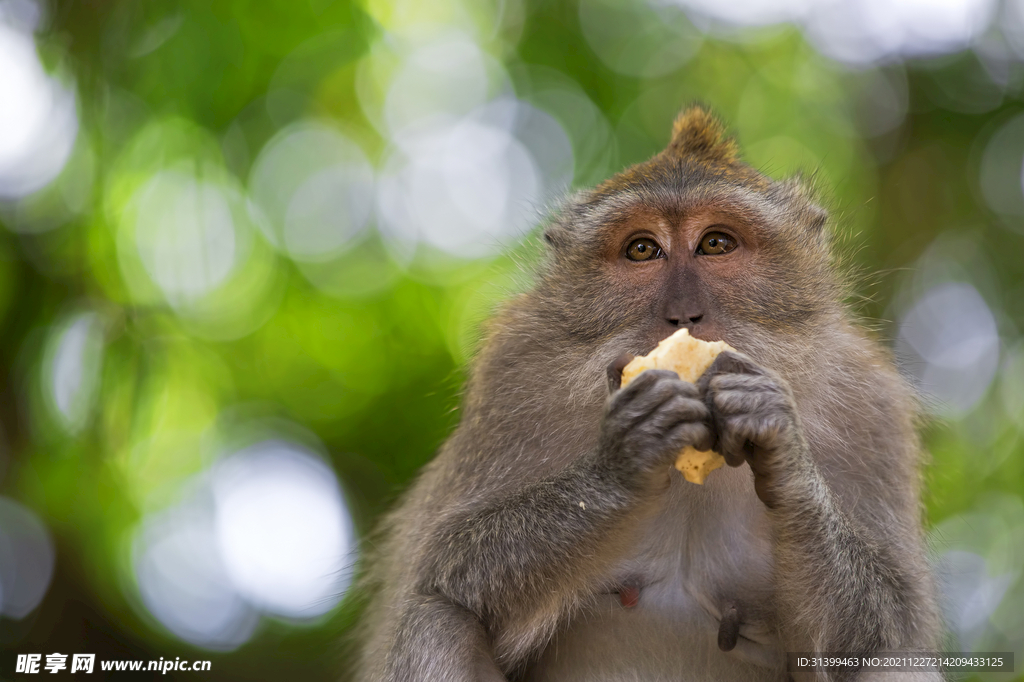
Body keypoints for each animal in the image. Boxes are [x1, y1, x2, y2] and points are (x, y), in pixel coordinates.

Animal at [354, 106, 942, 679]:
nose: (683, 314)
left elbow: (884, 624)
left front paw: (781, 445)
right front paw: (626, 458)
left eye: (716, 243)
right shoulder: (513, 373)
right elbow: (448, 564)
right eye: (642, 249)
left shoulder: (871, 407)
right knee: (438, 617)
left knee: (894, 661)